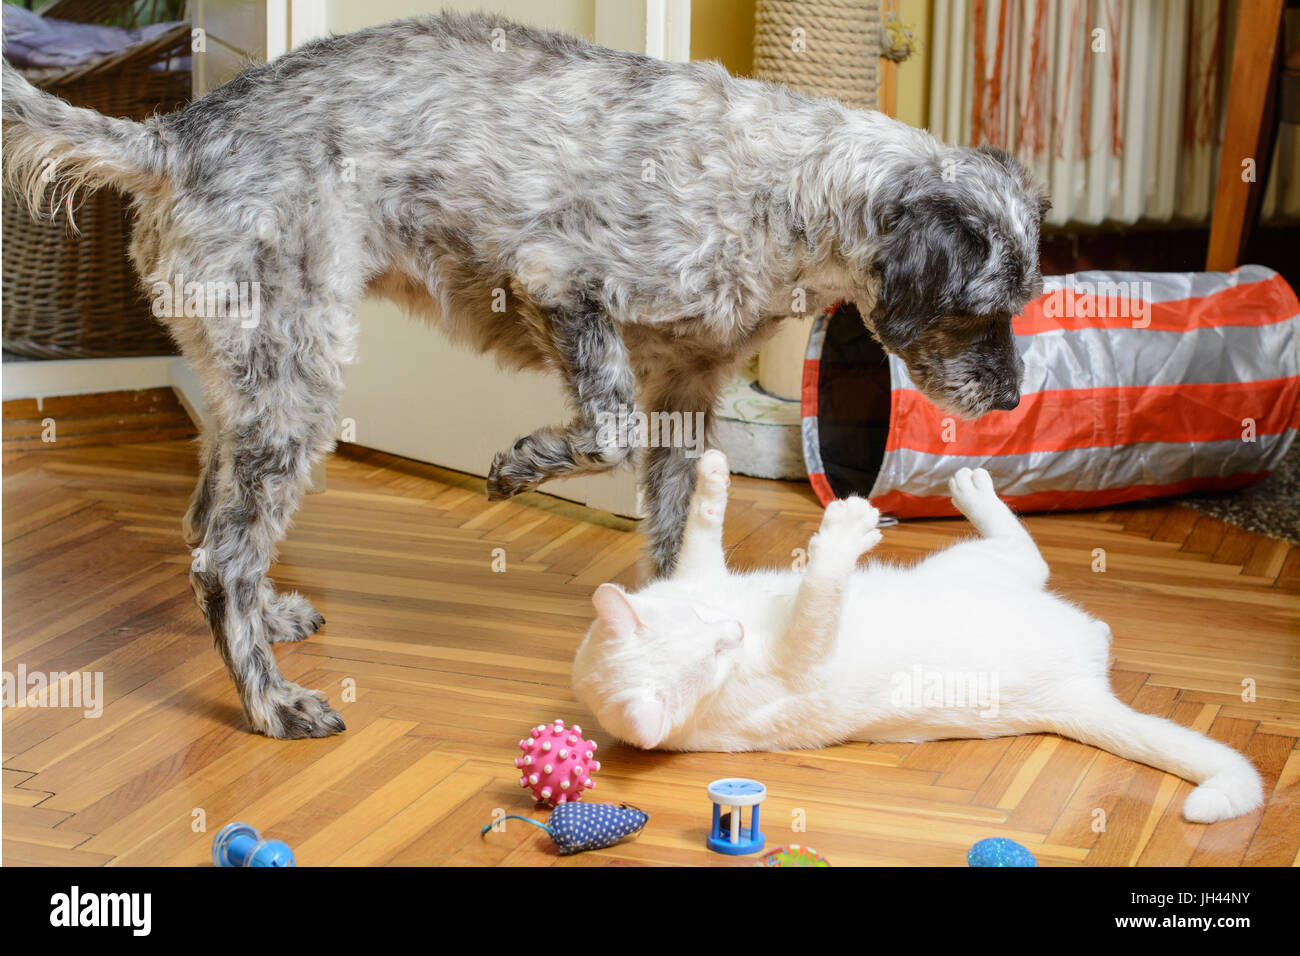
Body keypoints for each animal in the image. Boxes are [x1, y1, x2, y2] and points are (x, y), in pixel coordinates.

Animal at [574, 452, 1263, 827]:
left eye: (706, 630)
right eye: (713, 656)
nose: (734, 631)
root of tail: (1083, 685)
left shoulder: (703, 576)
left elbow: (701, 524)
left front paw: (713, 471)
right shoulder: (805, 657)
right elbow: (821, 588)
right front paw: (843, 532)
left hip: (966, 568)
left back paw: (972, 489)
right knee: (1033, 557)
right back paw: (959, 492)